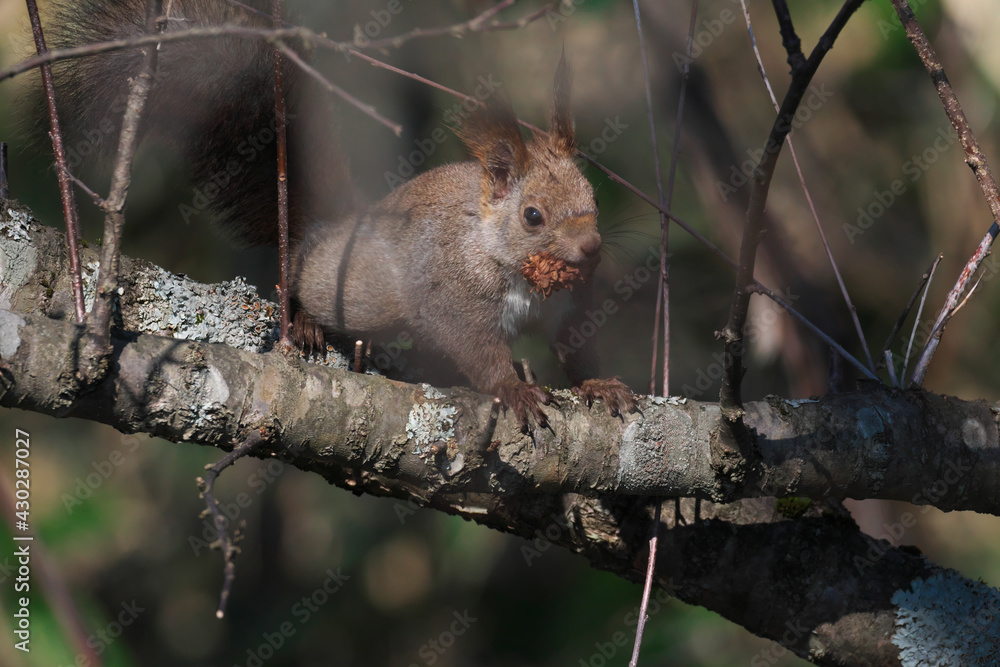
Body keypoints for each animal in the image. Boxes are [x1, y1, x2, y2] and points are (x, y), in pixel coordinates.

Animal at [31, 0, 636, 426]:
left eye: (593, 198)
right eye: (533, 216)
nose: (591, 249)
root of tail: (332, 226)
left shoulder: (567, 308)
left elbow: (577, 345)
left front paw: (600, 384)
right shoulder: (452, 292)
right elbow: (476, 348)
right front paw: (513, 388)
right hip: (341, 286)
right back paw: (302, 321)